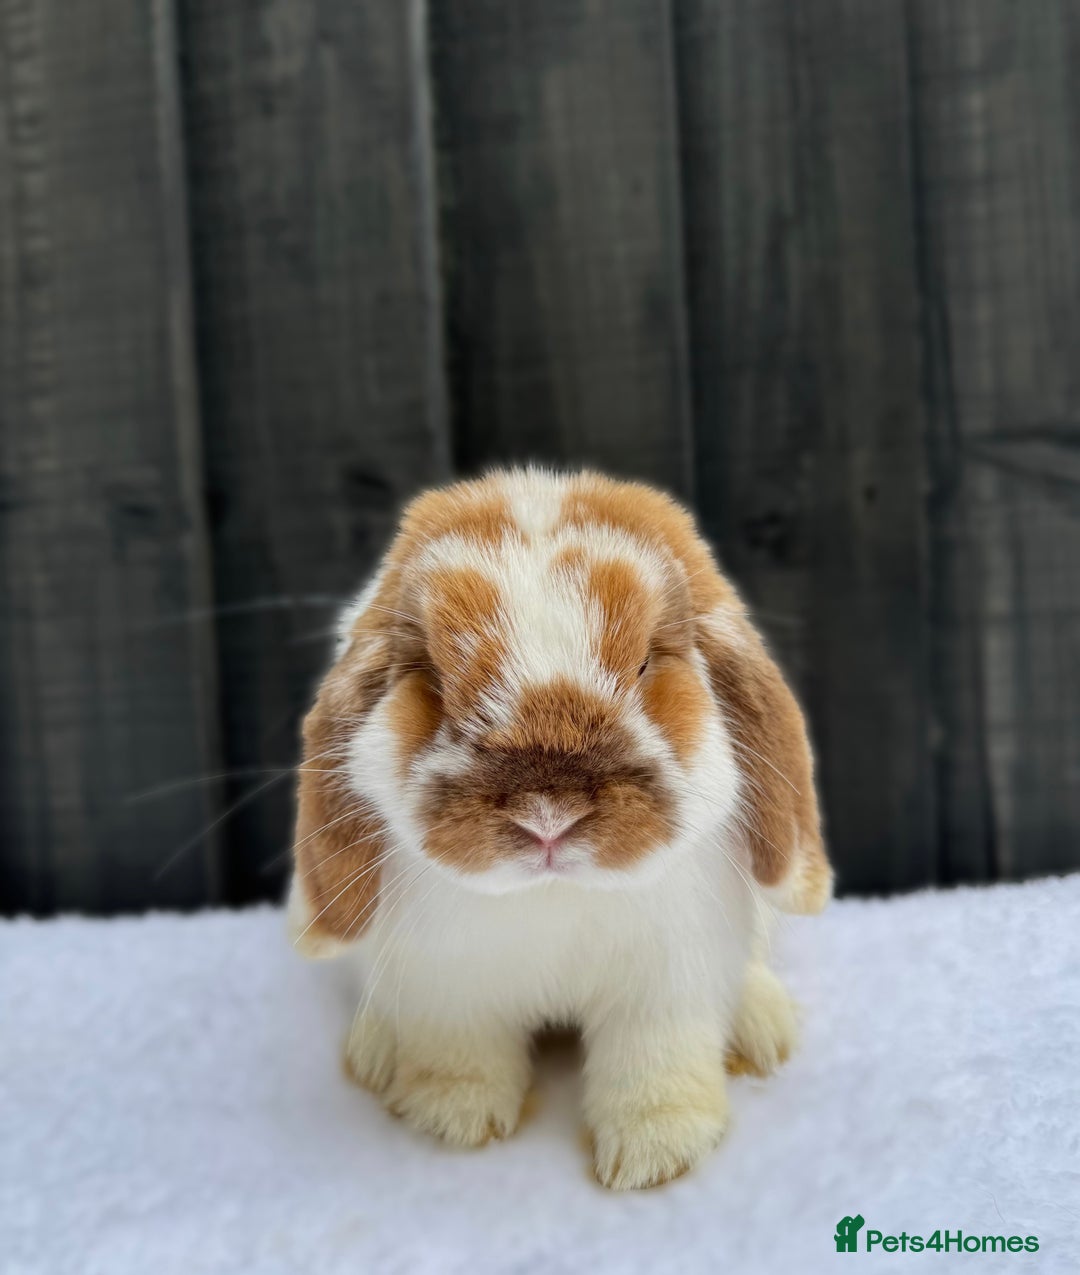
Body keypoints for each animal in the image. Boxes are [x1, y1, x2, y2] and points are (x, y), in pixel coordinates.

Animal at [287, 468, 832, 1190]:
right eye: (433, 677)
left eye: (643, 664)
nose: (548, 817)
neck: (554, 893)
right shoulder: (447, 986)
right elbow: (461, 1055)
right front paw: (454, 1119)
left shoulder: (668, 985)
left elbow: (655, 1066)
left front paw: (656, 1155)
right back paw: (375, 1052)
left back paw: (762, 1029)